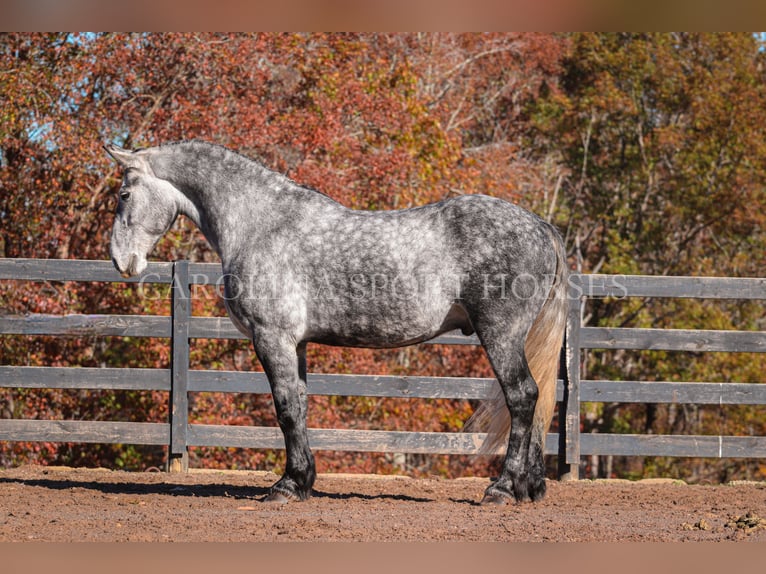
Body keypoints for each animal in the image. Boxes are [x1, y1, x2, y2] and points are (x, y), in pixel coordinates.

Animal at [105, 142, 568, 506]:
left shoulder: (272, 337)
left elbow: (286, 408)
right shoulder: (297, 344)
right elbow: (300, 404)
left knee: (523, 396)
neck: (261, 223)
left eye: (124, 193)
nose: (121, 261)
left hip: (501, 335)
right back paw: (530, 488)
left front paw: (286, 486)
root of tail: (540, 225)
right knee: (537, 400)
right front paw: (303, 481)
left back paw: (502, 488)